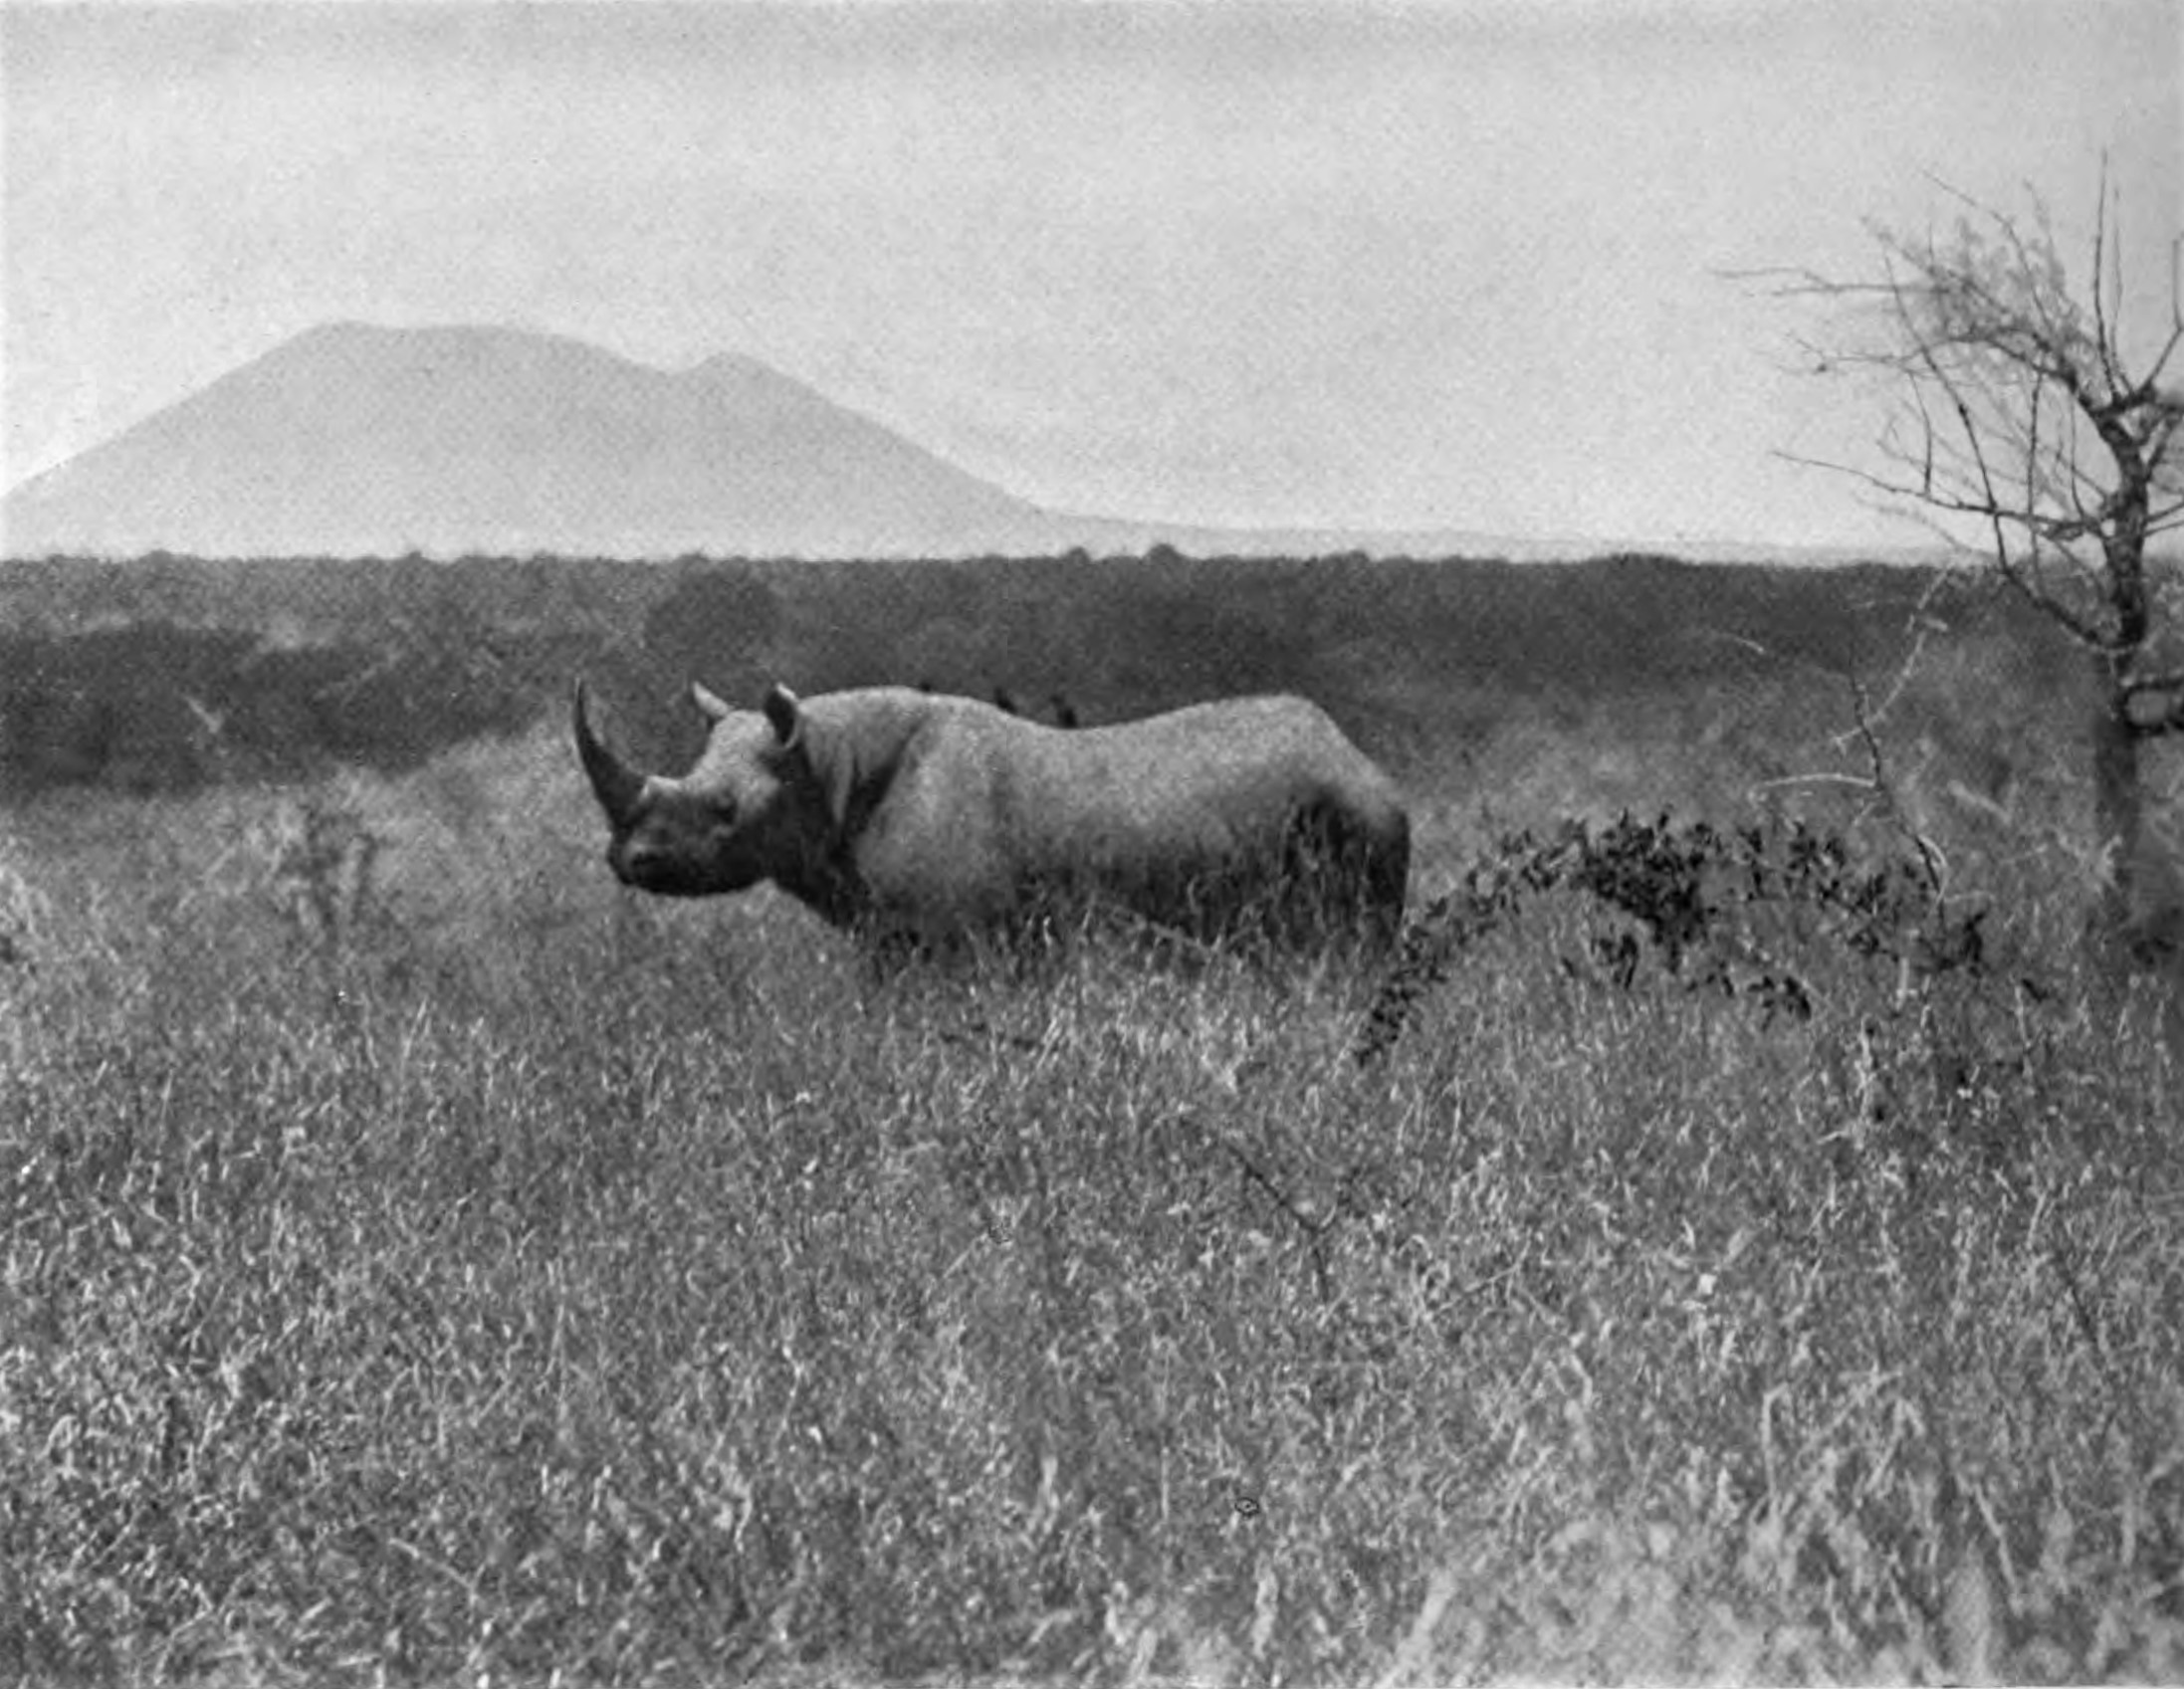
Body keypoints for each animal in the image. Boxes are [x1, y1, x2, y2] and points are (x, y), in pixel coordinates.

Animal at [574, 678, 1409, 954]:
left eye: (725, 809)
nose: (627, 859)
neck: (825, 763)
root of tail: (1360, 756)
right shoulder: (894, 935)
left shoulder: (956, 935)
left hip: (1355, 820)